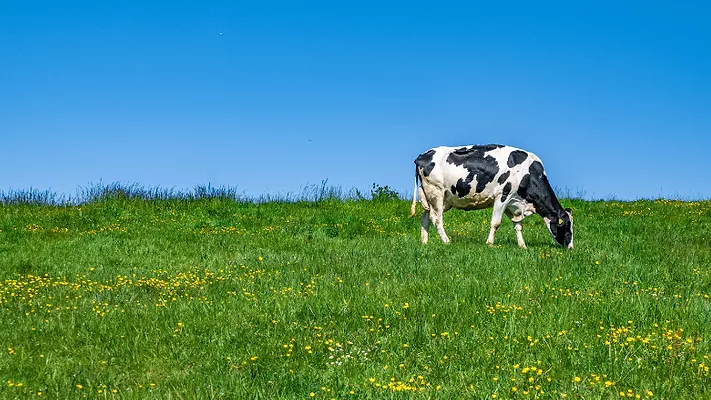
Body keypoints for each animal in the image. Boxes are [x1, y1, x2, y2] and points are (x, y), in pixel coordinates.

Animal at [410, 144, 573, 248]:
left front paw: (522, 246)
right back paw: (446, 241)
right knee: (436, 218)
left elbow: (518, 225)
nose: (570, 247)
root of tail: (422, 156)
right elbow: (496, 222)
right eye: (566, 228)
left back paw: (424, 242)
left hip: (441, 198)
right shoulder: (503, 195)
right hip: (436, 191)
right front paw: (490, 243)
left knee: (425, 215)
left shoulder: (513, 204)